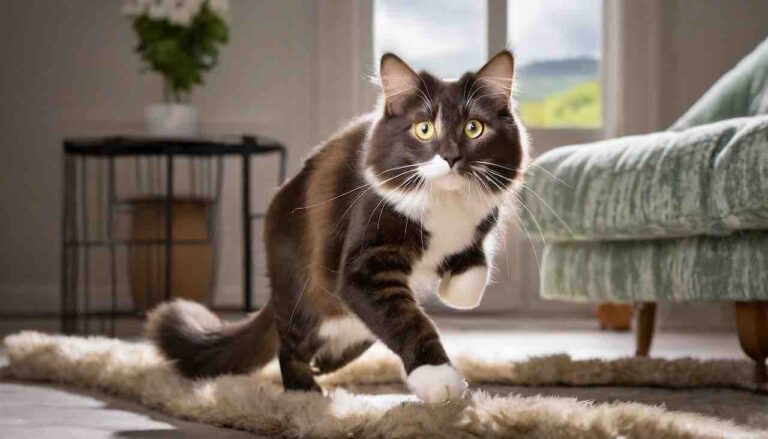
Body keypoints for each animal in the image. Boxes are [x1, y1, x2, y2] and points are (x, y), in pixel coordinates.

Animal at [146, 49, 528, 404]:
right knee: (290, 345)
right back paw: (306, 390)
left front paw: (452, 289)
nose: (450, 157)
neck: (446, 205)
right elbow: (410, 321)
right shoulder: (363, 266)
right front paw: (439, 380)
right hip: (303, 297)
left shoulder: (480, 224)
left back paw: (326, 364)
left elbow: (473, 275)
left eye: (473, 128)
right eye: (424, 129)